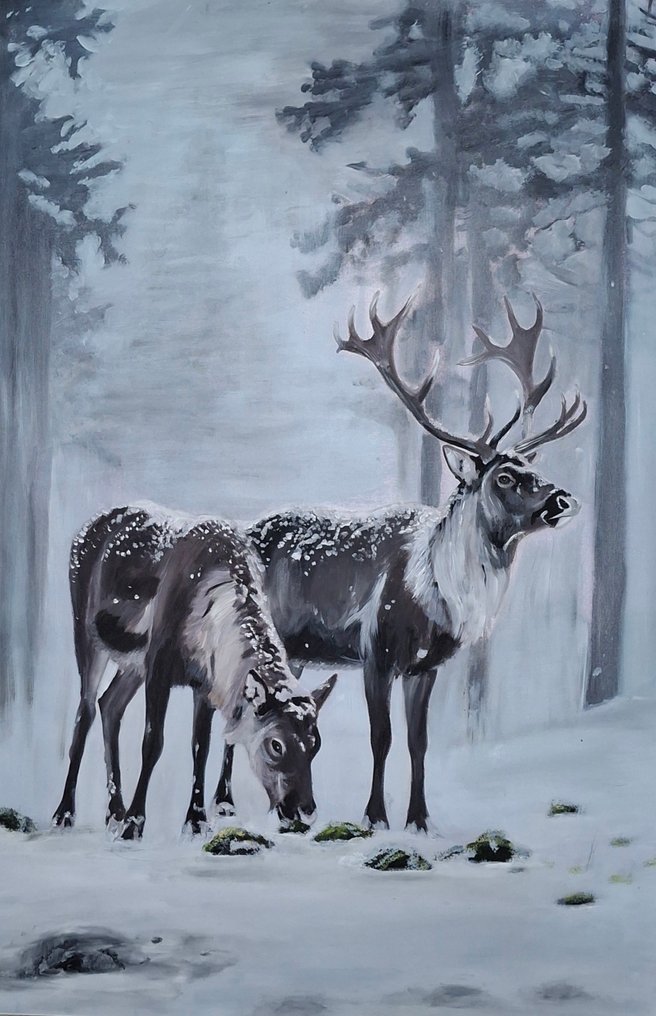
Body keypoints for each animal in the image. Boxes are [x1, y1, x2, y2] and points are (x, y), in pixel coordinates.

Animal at [52, 504, 336, 839]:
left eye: (316, 743)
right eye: (275, 744)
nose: (305, 813)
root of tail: (86, 529)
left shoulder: (203, 684)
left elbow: (200, 747)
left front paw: (196, 820)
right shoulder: (158, 666)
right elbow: (153, 743)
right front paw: (135, 824)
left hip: (133, 665)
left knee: (109, 704)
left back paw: (114, 813)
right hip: (87, 633)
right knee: (85, 712)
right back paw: (65, 813)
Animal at [211, 292, 586, 832]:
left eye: (531, 467)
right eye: (505, 476)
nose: (563, 499)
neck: (436, 594)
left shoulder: (424, 666)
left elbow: (418, 742)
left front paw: (420, 820)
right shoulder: (375, 650)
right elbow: (381, 738)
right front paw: (375, 817)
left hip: (293, 653)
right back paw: (222, 803)